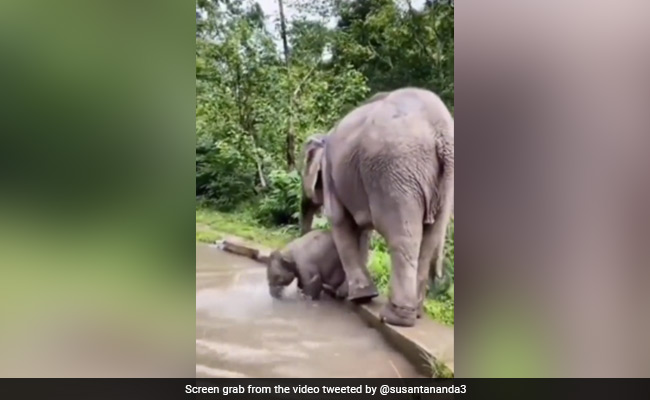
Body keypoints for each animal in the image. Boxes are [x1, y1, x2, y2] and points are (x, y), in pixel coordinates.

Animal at [298, 87, 454, 327]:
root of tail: (441, 131)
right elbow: (361, 231)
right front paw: (351, 294)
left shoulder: (332, 175)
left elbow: (340, 221)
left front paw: (357, 296)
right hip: (441, 184)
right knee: (430, 238)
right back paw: (416, 312)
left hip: (396, 171)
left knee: (403, 236)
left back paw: (395, 317)